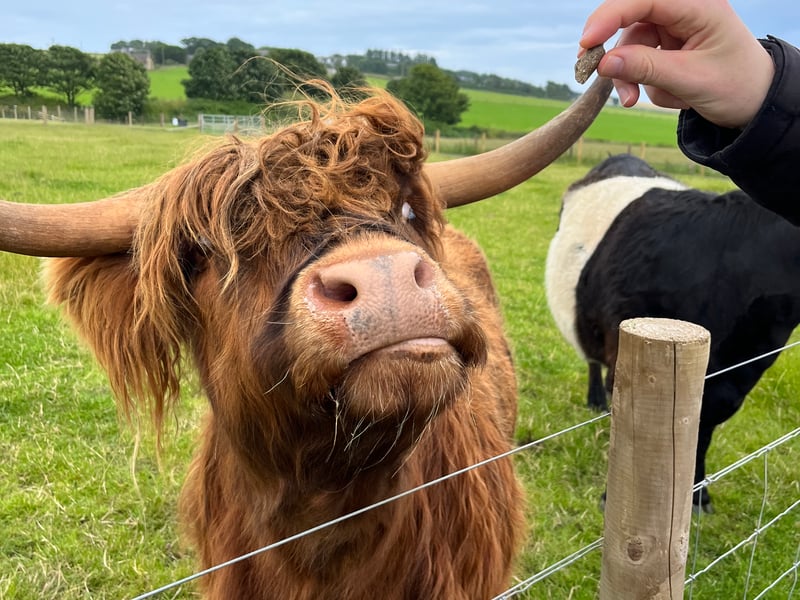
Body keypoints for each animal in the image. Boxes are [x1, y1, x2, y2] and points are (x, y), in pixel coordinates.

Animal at [545, 153, 800, 513]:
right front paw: (615, 499)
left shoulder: (741, 370)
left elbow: (703, 428)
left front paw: (697, 495)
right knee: (592, 359)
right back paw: (595, 400)